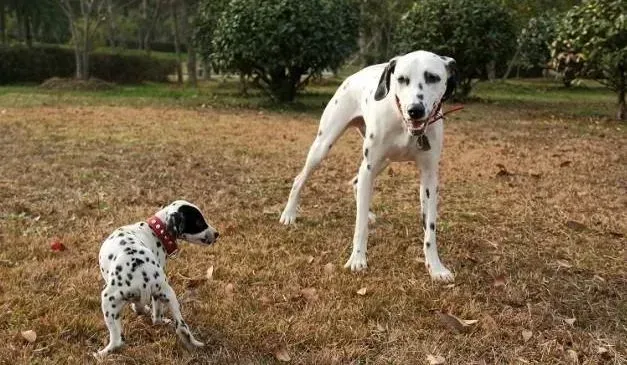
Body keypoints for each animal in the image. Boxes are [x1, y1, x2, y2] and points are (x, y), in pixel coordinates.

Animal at [94, 199, 220, 356]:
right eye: (199, 222)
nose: (217, 234)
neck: (154, 231)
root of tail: (142, 277)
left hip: (108, 300)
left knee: (118, 341)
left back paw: (101, 354)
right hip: (168, 295)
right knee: (175, 325)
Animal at [282, 49, 458, 280]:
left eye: (433, 77)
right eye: (402, 79)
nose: (415, 110)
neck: (404, 124)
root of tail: (354, 75)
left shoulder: (429, 178)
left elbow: (430, 227)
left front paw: (435, 267)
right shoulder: (369, 168)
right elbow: (360, 226)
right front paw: (357, 259)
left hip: (381, 162)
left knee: (356, 182)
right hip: (324, 147)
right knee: (300, 179)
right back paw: (289, 214)